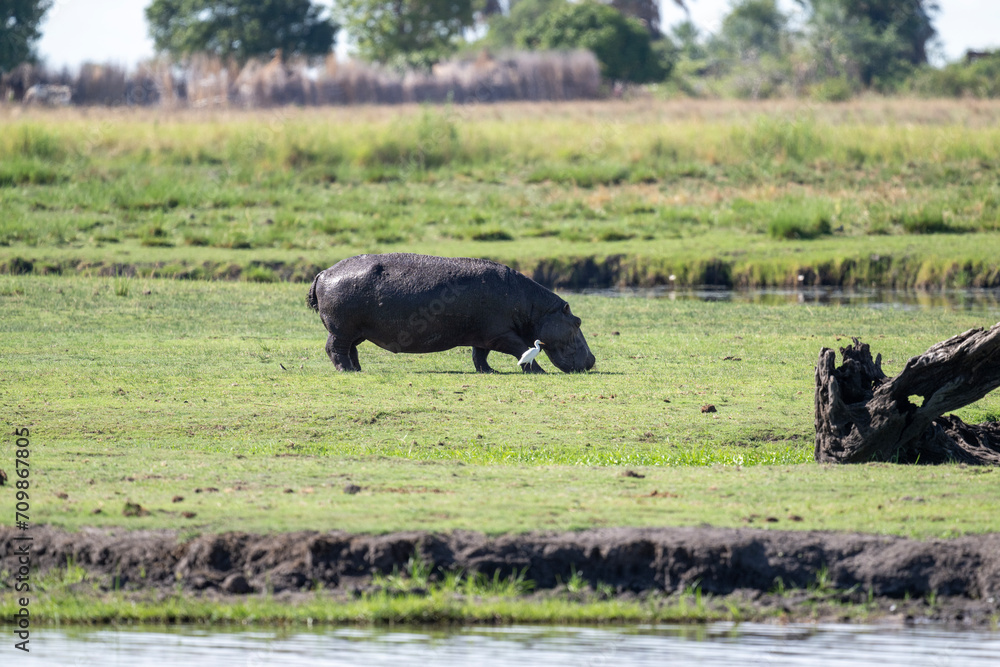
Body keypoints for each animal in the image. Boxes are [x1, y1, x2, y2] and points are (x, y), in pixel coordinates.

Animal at [307, 253, 596, 373]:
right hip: (342, 329)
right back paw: (347, 371)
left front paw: (489, 371)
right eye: (577, 321)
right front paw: (538, 371)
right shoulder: (501, 334)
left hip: (356, 331)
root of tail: (323, 273)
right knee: (335, 349)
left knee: (350, 350)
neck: (535, 308)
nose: (592, 360)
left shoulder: (485, 335)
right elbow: (521, 348)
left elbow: (479, 355)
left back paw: (357, 369)